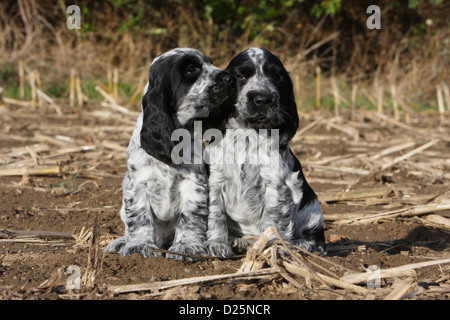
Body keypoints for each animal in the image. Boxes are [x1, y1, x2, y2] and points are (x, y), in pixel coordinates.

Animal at [106, 48, 236, 260]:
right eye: (191, 69)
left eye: (210, 63)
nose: (230, 78)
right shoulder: (138, 184)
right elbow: (140, 218)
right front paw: (139, 246)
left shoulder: (194, 182)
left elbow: (190, 216)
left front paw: (186, 246)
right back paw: (121, 242)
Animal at [206, 48, 326, 258]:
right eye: (240, 76)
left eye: (277, 77)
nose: (263, 99)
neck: (248, 135)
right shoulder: (216, 179)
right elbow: (215, 214)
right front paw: (217, 243)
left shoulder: (278, 185)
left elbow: (273, 220)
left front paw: (272, 247)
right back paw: (240, 241)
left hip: (313, 210)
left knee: (315, 240)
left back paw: (299, 245)